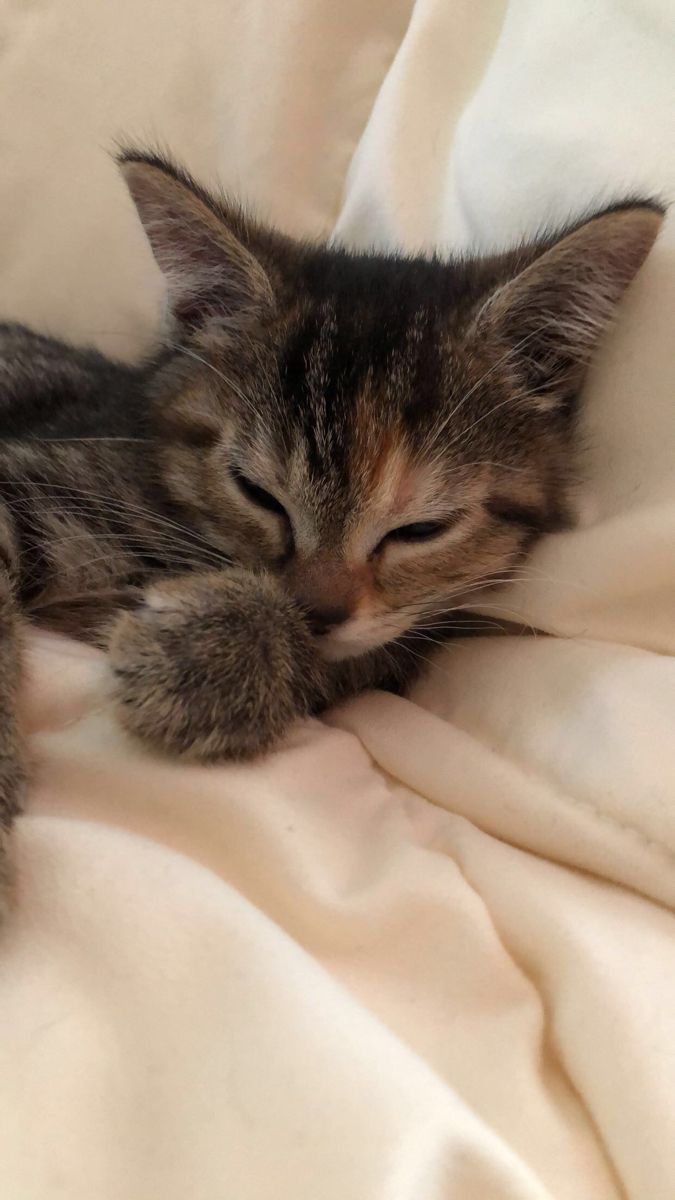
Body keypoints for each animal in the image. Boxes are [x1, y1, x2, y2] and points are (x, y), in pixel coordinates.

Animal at [0, 150, 662, 902]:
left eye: (419, 530)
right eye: (257, 493)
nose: (314, 610)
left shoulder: (404, 634)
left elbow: (361, 655)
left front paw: (217, 654)